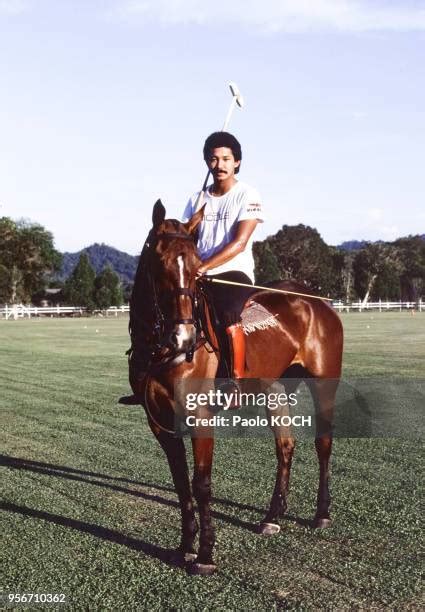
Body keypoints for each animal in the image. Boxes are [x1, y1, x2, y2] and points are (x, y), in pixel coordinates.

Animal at [128, 201, 342, 572]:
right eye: (159, 264)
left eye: (197, 267)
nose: (184, 338)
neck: (158, 348)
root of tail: (318, 301)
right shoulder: (159, 421)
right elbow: (181, 484)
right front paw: (184, 546)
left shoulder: (199, 417)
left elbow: (200, 483)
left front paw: (205, 554)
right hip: (275, 388)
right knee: (285, 446)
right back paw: (272, 517)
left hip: (324, 384)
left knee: (323, 444)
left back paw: (322, 514)